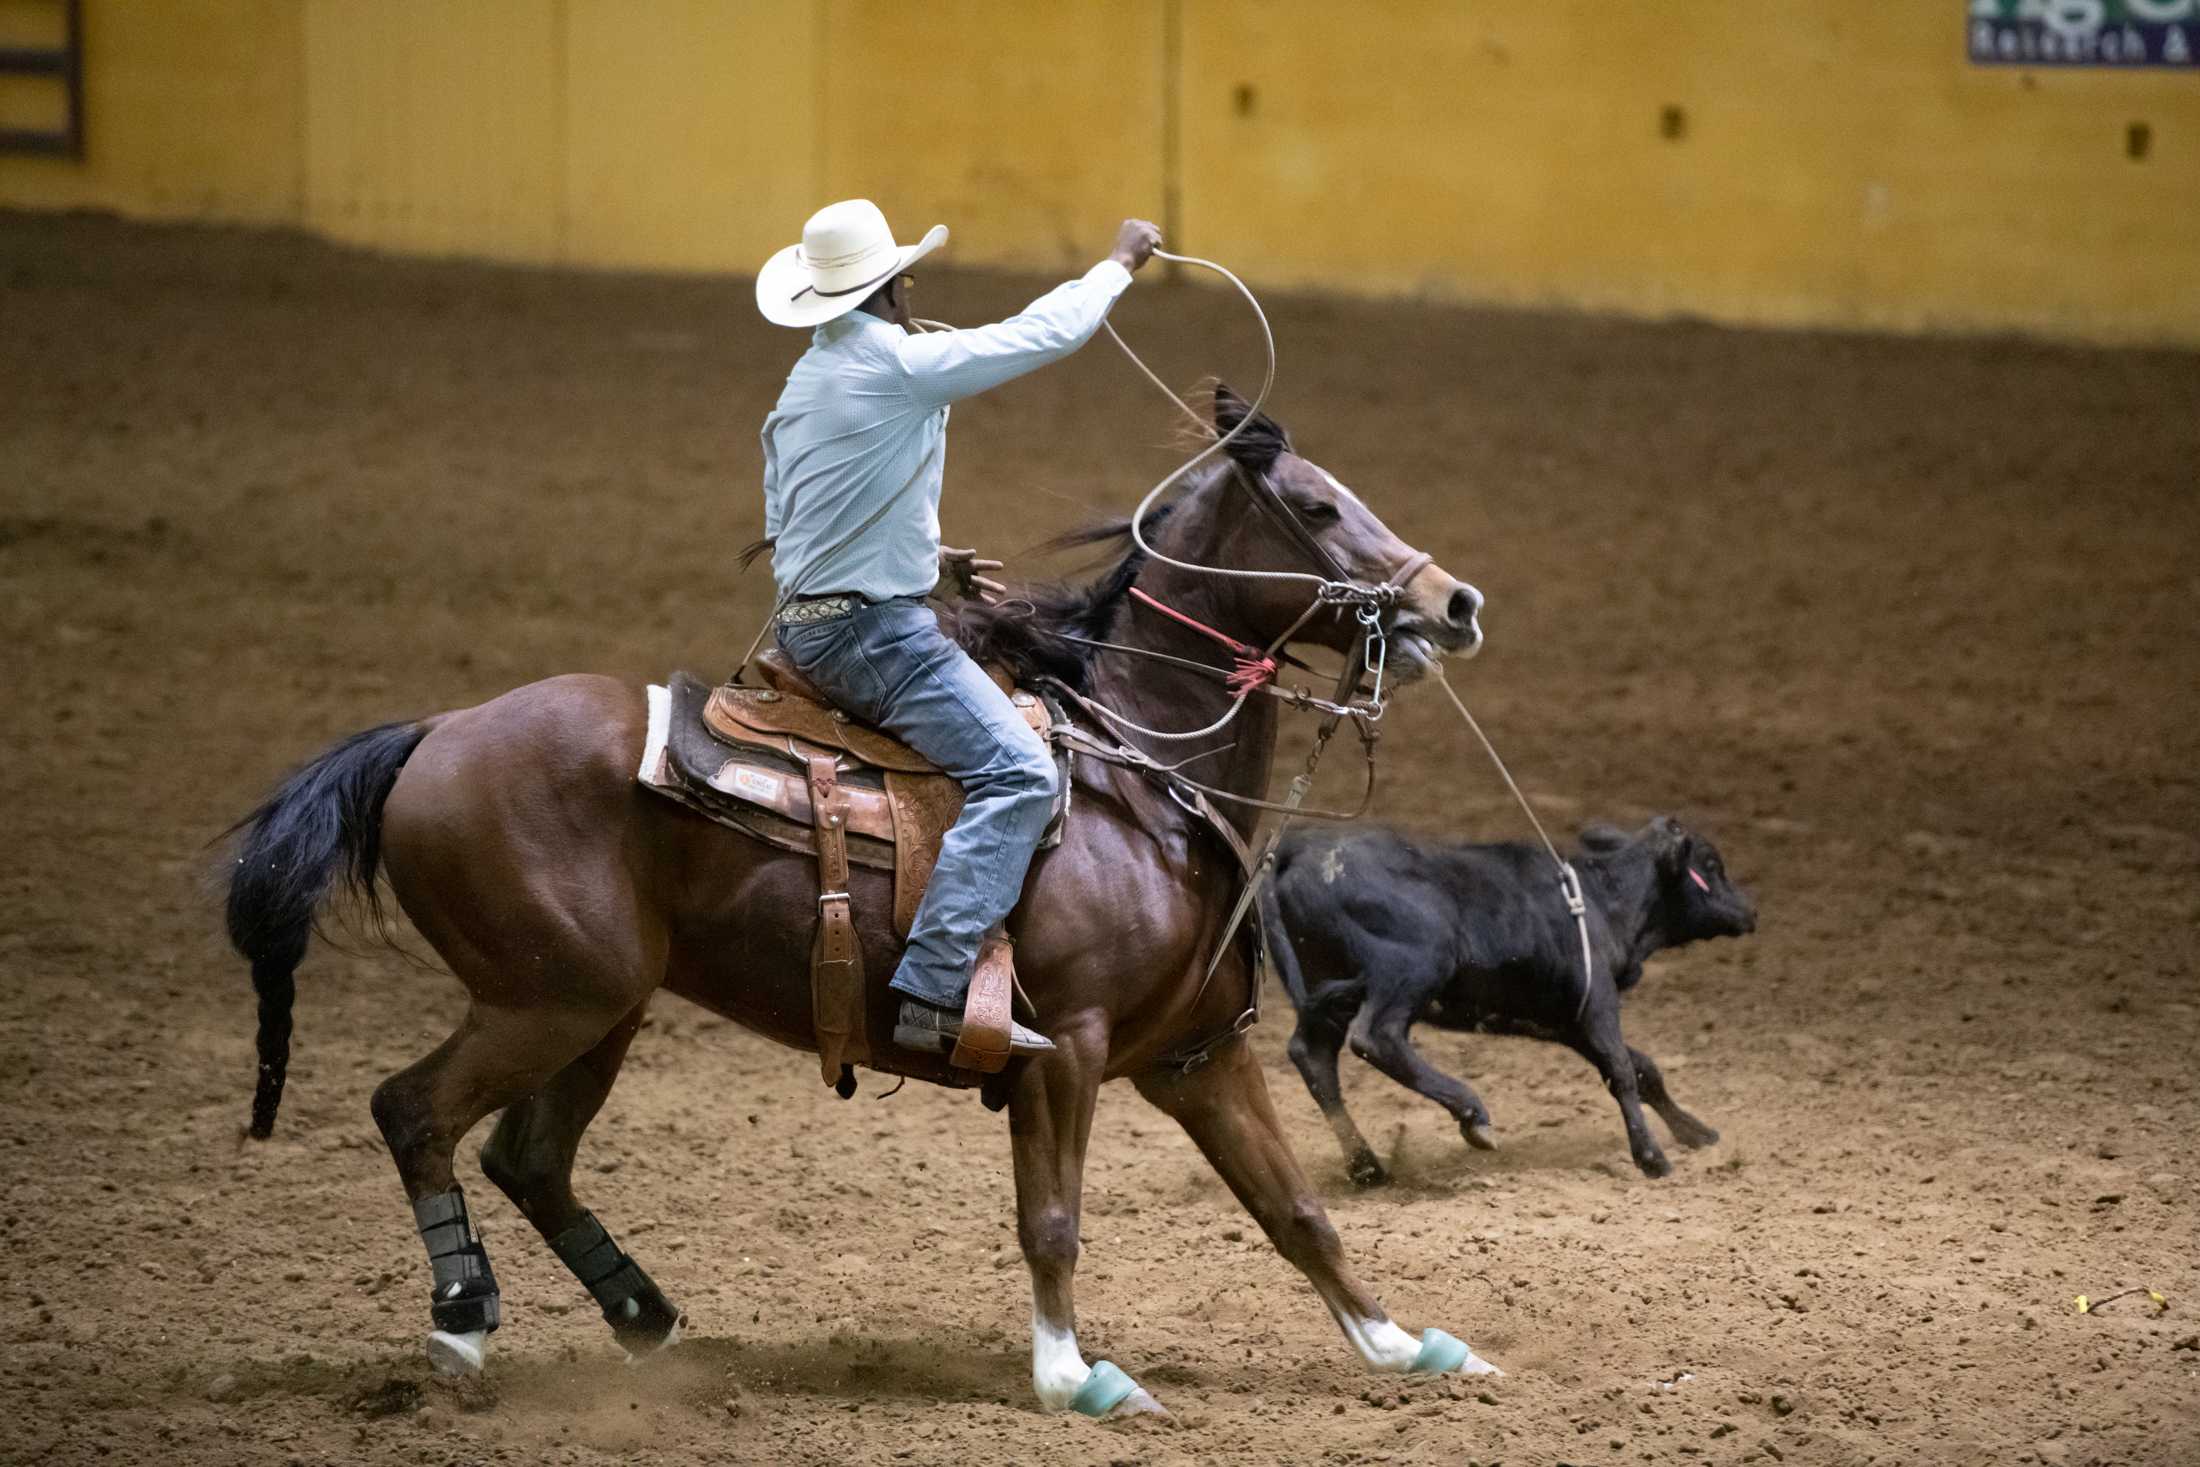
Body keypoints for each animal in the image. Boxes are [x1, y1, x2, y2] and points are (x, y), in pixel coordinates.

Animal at [223, 384, 1496, 1416]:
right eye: (1319, 510)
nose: (1456, 603)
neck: (1137, 772)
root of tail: (433, 734)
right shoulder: (1065, 1049)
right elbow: (1052, 1218)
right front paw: (1071, 1377)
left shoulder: (1199, 1054)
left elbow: (1298, 1211)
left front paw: (1407, 1348)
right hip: (544, 1003)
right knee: (413, 1113)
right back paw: (461, 1325)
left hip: (599, 1008)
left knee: (527, 1159)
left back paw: (652, 1323)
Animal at [1267, 813, 1760, 1178]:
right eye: (1711, 864)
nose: (1750, 911)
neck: (1604, 901)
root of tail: (1298, 849)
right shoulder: (1597, 1003)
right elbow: (1622, 1070)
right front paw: (1652, 1157)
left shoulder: (1569, 1021)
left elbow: (1643, 1068)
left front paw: (1696, 1132)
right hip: (1412, 966)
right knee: (1377, 1038)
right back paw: (1473, 1115)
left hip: (1325, 987)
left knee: (1314, 1056)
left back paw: (1366, 1165)